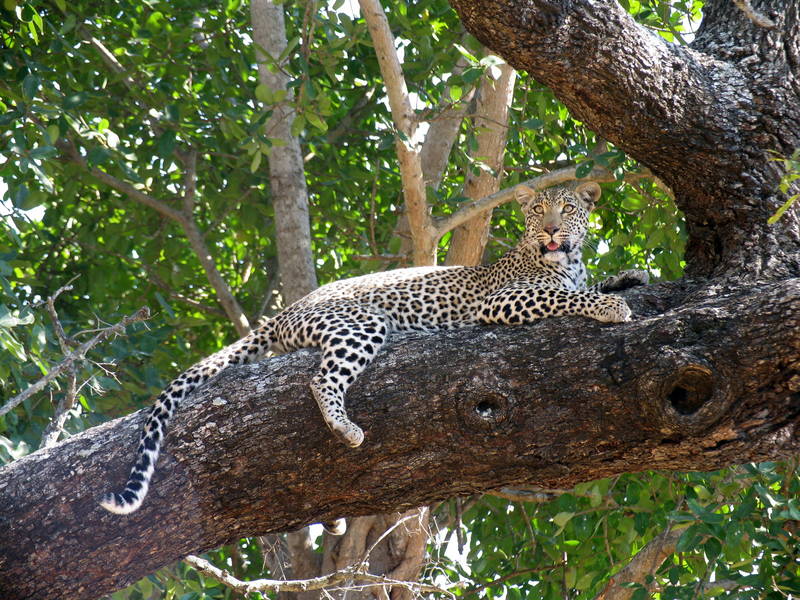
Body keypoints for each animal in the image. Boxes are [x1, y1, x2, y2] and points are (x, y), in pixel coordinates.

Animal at [101, 182, 648, 516]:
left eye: (569, 209)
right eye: (537, 211)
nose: (552, 229)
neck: (564, 259)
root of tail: (285, 311)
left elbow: (591, 282)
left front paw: (629, 276)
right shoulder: (503, 301)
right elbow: (566, 296)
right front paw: (610, 306)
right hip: (362, 322)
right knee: (320, 377)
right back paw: (346, 428)